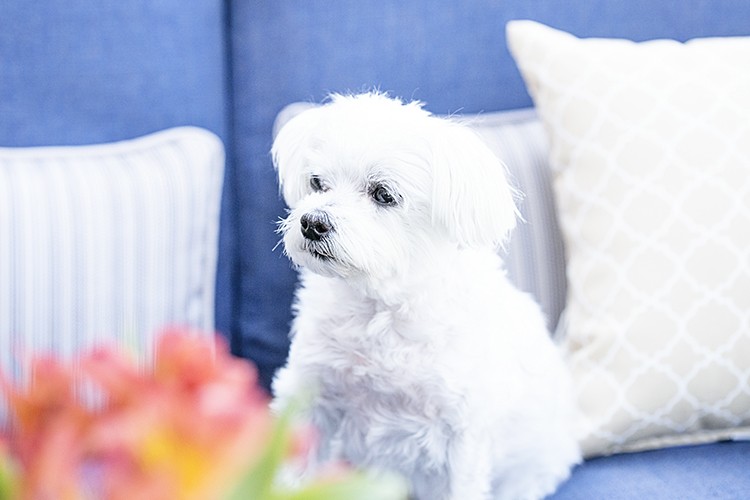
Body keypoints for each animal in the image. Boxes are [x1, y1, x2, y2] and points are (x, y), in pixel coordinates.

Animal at [270, 94, 580, 500]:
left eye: (383, 194)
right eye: (317, 182)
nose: (312, 222)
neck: (380, 308)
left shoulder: (463, 434)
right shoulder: (311, 399)